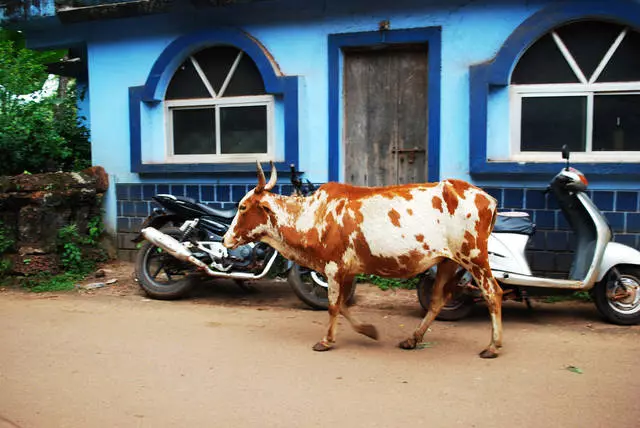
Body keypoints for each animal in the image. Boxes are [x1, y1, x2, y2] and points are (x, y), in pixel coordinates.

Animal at [222, 162, 502, 356]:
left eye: (243, 207)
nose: (226, 239)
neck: (312, 215)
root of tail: (488, 198)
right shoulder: (346, 270)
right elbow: (343, 305)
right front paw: (368, 331)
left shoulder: (333, 267)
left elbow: (333, 306)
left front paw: (326, 341)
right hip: (448, 261)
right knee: (436, 302)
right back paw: (412, 339)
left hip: (474, 257)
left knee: (493, 293)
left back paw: (493, 345)